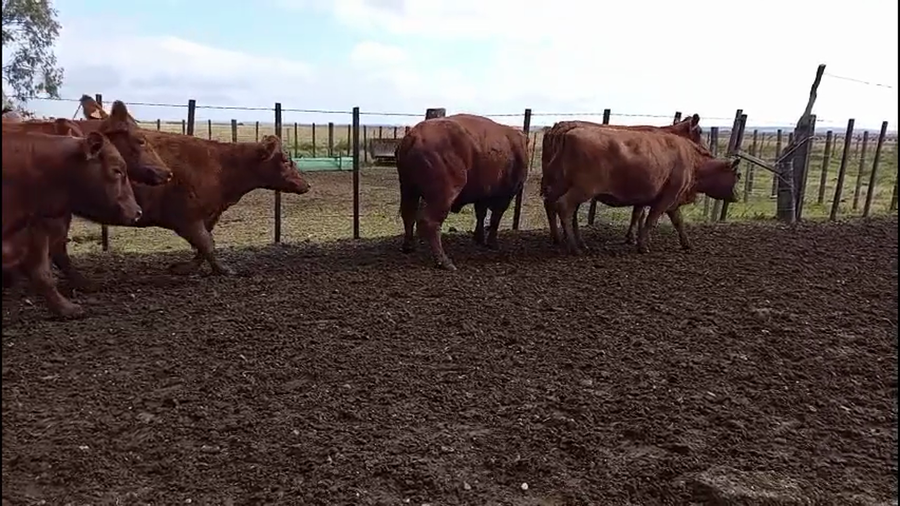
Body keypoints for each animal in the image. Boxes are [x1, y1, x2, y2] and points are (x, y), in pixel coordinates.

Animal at [46, 132, 311, 288]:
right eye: (285, 160)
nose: (307, 184)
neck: (221, 166)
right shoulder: (187, 218)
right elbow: (207, 244)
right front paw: (227, 270)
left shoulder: (206, 217)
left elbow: (206, 245)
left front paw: (185, 268)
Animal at [396, 113, 529, 271]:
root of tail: (414, 136)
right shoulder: (505, 196)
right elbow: (495, 218)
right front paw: (492, 243)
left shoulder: (482, 195)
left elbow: (481, 214)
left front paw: (479, 238)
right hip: (444, 195)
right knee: (430, 222)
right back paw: (444, 262)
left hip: (408, 189)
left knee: (408, 215)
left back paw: (409, 247)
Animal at [543, 125, 739, 255]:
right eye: (738, 175)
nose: (736, 197)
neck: (691, 159)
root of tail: (568, 133)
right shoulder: (666, 199)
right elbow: (650, 221)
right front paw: (643, 245)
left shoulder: (669, 201)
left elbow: (678, 222)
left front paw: (687, 244)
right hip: (582, 190)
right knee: (564, 207)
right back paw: (574, 247)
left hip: (560, 185)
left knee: (555, 206)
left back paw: (571, 242)